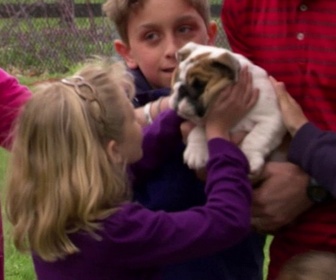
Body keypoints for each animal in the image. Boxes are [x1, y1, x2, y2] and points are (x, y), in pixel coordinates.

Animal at [171, 41, 286, 177]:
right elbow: (198, 129)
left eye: (200, 85)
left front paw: (249, 158)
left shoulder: (272, 119)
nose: (180, 89)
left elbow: (256, 138)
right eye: (177, 79)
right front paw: (196, 151)